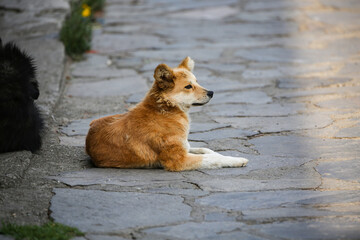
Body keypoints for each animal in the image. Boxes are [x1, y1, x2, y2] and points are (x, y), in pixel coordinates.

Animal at [85, 56, 248, 171]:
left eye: (196, 81)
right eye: (188, 86)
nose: (211, 92)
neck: (166, 111)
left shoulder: (185, 146)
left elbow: (207, 150)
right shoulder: (178, 160)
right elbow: (212, 159)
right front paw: (237, 160)